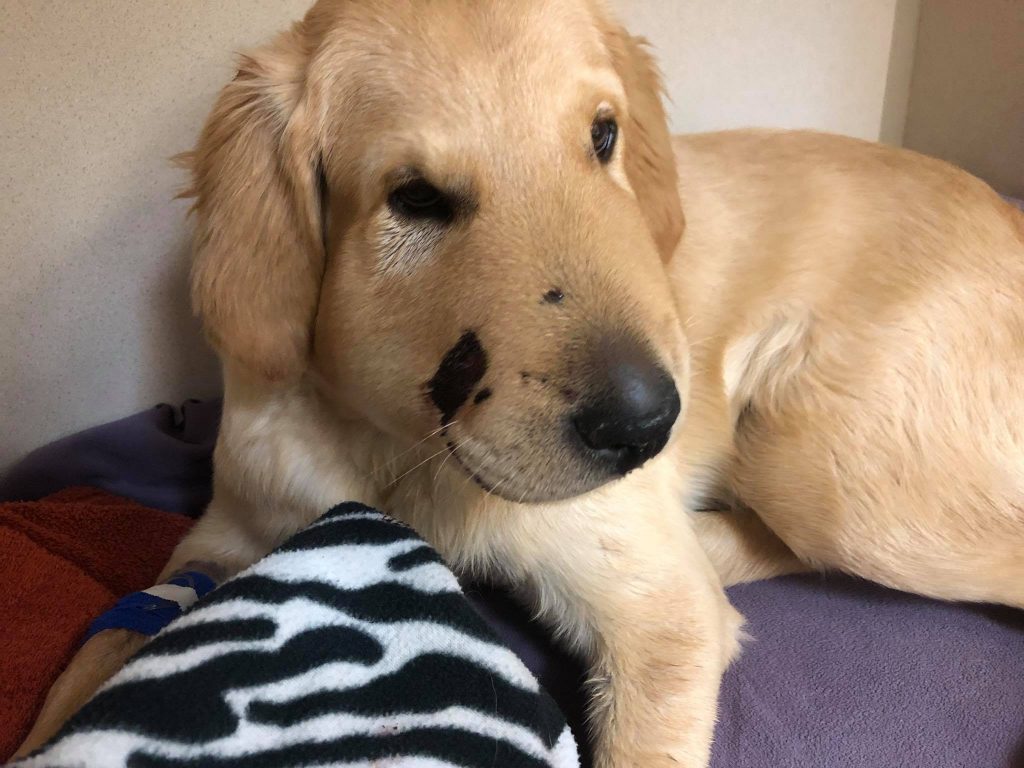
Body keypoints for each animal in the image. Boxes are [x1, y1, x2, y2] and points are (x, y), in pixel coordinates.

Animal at [18, 1, 1024, 768]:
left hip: (833, 473)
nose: (650, 425)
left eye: (604, 136)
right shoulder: (223, 536)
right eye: (415, 197)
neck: (402, 454)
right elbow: (96, 655)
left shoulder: (660, 620)